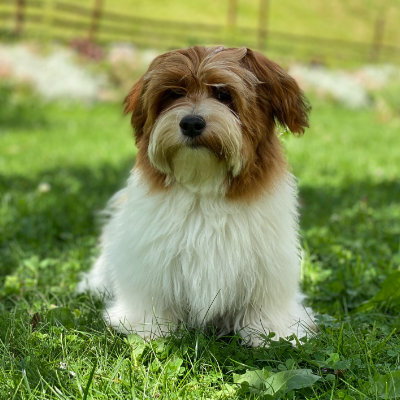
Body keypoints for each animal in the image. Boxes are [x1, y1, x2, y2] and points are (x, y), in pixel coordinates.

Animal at [77, 46, 316, 346]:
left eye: (224, 95)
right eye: (173, 94)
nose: (191, 123)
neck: (203, 185)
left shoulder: (267, 262)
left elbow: (265, 303)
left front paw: (274, 332)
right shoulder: (151, 258)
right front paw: (147, 328)